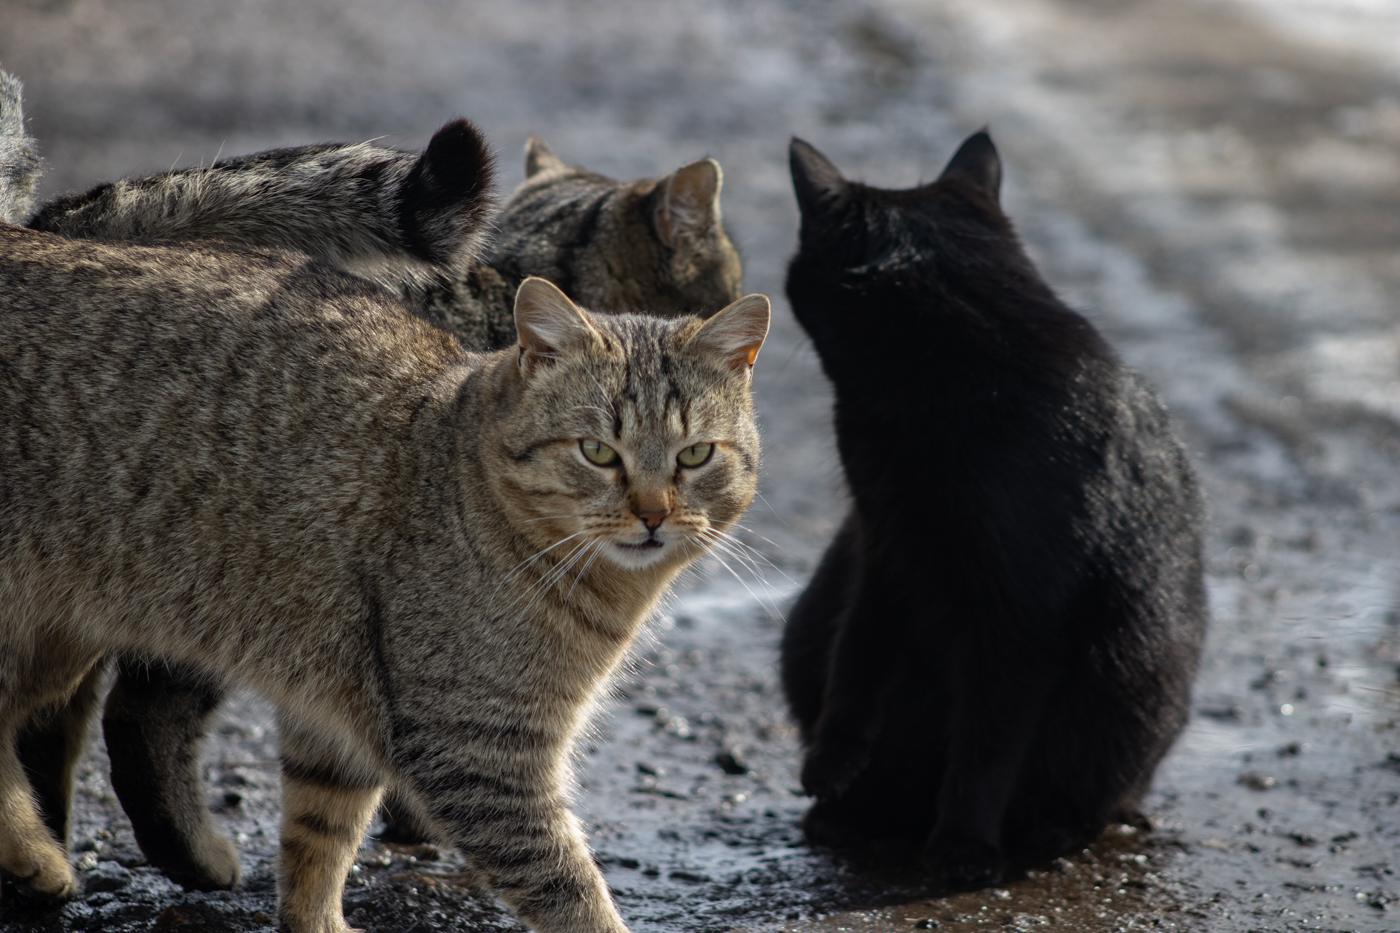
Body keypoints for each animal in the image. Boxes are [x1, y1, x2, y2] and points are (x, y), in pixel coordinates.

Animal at [0, 215, 772, 930]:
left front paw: (316, 919)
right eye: (598, 452)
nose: (653, 513)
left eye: (695, 455)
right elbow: (571, 889)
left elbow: (319, 838)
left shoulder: (339, 717)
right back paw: (40, 858)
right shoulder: (476, 749)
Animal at [784, 132, 1209, 885]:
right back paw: (847, 814)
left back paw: (1051, 828)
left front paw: (962, 845)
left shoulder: (1019, 619)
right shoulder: (883, 548)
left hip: (1128, 697)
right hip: (805, 623)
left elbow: (987, 742)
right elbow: (857, 654)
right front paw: (831, 766)